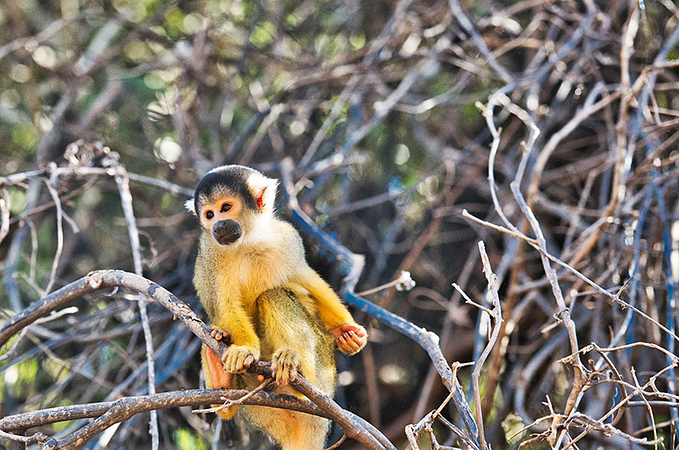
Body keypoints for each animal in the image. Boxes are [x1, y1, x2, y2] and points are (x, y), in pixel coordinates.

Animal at [187, 166, 366, 450]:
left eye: (225, 208)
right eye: (209, 214)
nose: (218, 225)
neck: (247, 241)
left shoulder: (287, 238)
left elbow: (304, 276)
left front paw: (346, 330)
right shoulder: (209, 254)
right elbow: (224, 304)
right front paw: (245, 348)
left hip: (325, 373)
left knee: (273, 296)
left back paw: (298, 378)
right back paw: (221, 380)